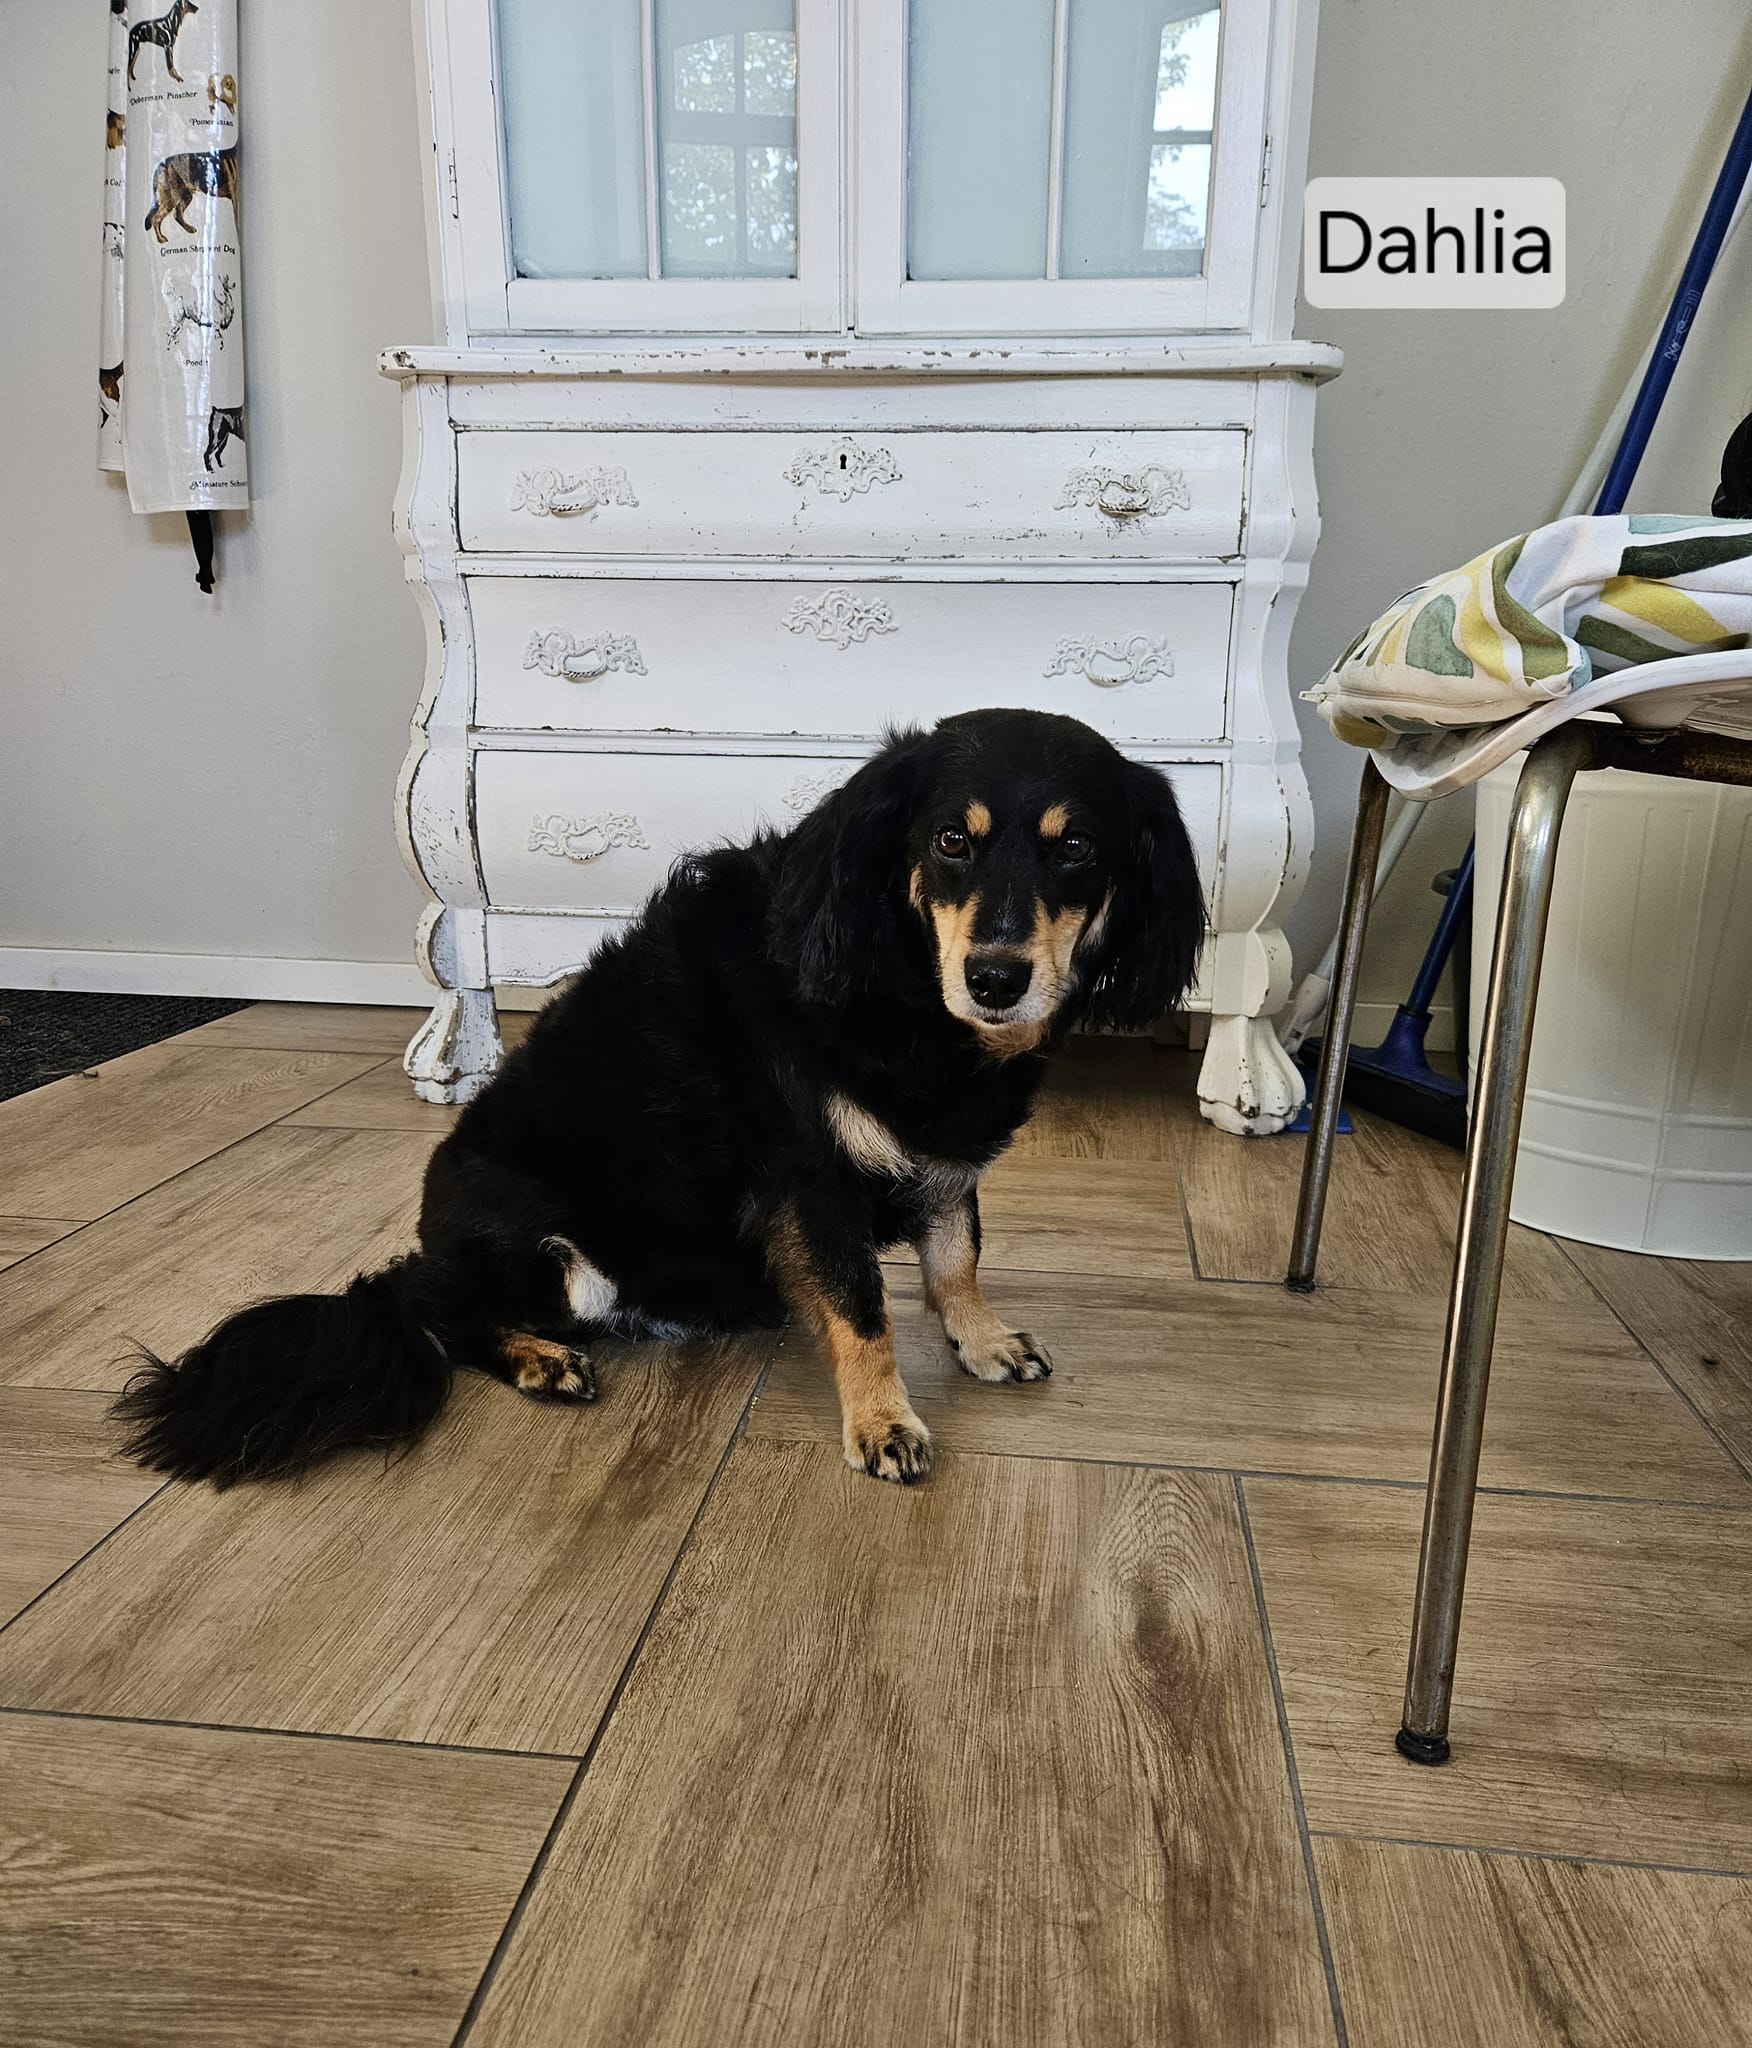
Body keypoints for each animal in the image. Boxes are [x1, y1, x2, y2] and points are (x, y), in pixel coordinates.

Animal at [115, 709, 1204, 1490]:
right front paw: (883, 1421)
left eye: (1076, 849)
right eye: (949, 840)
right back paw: (538, 1358)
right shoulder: (814, 1176)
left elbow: (958, 1250)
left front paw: (980, 1338)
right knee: (430, 1304)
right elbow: (863, 1308)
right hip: (552, 1254)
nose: (995, 977)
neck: (900, 986)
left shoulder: (941, 1151)